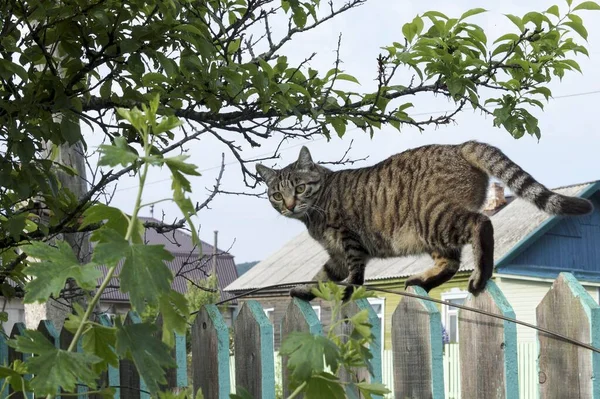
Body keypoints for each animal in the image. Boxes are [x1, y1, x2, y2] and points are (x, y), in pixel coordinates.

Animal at [255, 142, 592, 302]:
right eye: (276, 194)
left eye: (300, 188)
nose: (289, 205)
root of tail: (459, 146)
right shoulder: (335, 255)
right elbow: (321, 277)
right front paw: (305, 290)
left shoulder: (349, 243)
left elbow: (354, 277)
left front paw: (347, 290)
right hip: (433, 233)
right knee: (451, 261)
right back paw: (422, 280)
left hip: (435, 218)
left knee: (482, 224)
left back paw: (480, 275)